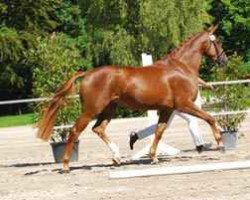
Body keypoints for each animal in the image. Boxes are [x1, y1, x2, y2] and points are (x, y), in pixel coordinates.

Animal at [38, 25, 228, 172]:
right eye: (217, 41)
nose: (224, 60)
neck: (180, 67)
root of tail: (88, 73)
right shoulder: (184, 105)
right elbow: (210, 118)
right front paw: (221, 144)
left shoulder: (168, 109)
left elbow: (159, 131)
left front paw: (153, 157)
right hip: (91, 110)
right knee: (75, 131)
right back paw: (65, 166)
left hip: (109, 109)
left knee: (98, 129)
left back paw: (117, 157)